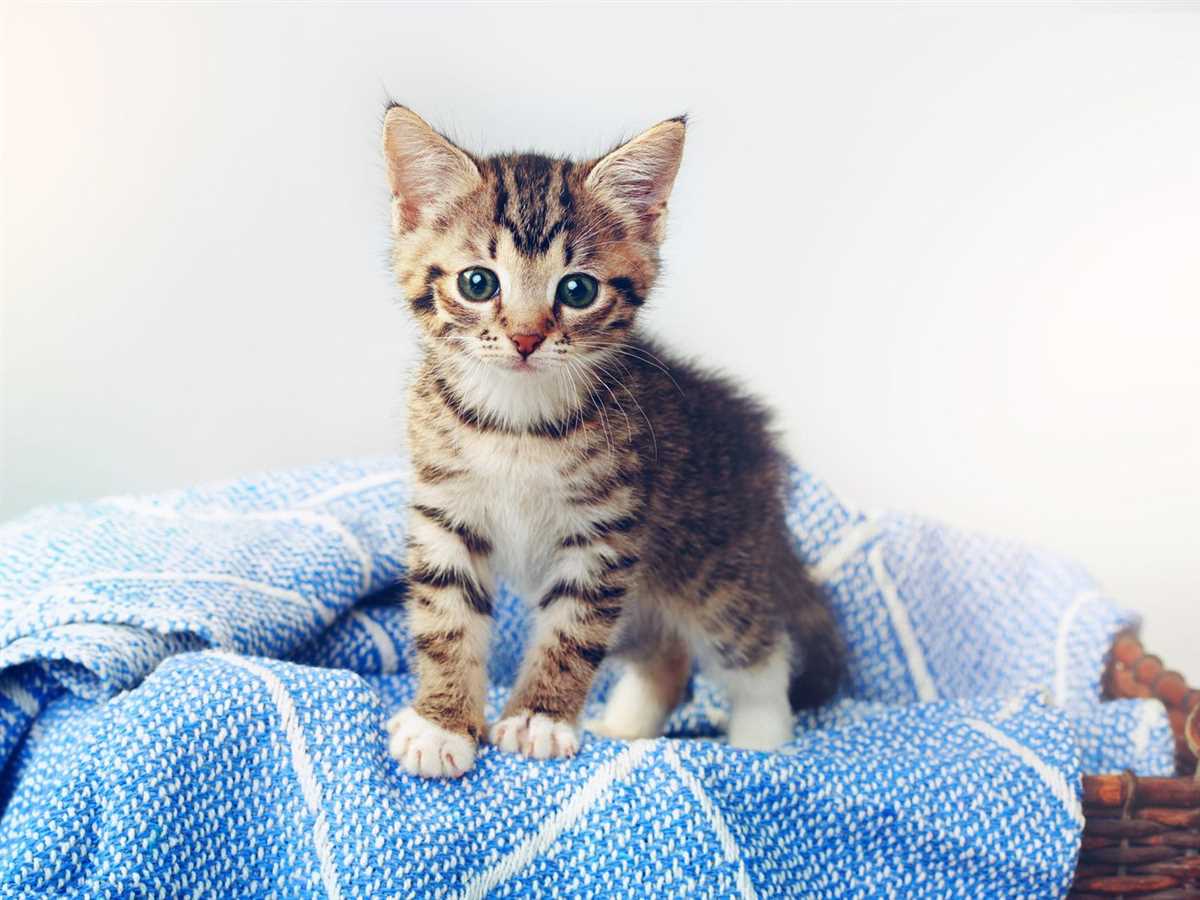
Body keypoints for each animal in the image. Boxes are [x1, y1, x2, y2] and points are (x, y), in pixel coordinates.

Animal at [379, 107, 840, 782]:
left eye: (577, 291)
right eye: (477, 282)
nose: (525, 339)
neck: (516, 423)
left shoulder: (605, 530)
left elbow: (570, 631)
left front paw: (537, 719)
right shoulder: (447, 513)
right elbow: (446, 618)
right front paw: (441, 723)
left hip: (714, 564)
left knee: (757, 645)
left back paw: (760, 739)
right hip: (648, 599)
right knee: (667, 656)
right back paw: (625, 727)